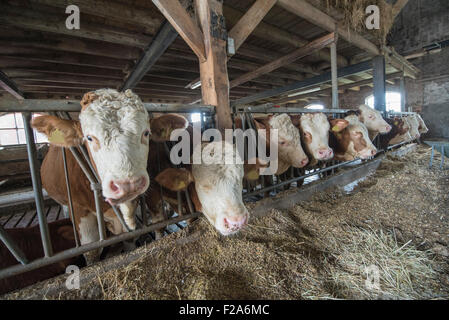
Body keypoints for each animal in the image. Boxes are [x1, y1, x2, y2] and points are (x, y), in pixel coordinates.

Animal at [32, 88, 186, 262]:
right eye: (89, 137)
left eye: (146, 133)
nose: (128, 184)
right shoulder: (80, 210)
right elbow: (91, 251)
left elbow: (131, 237)